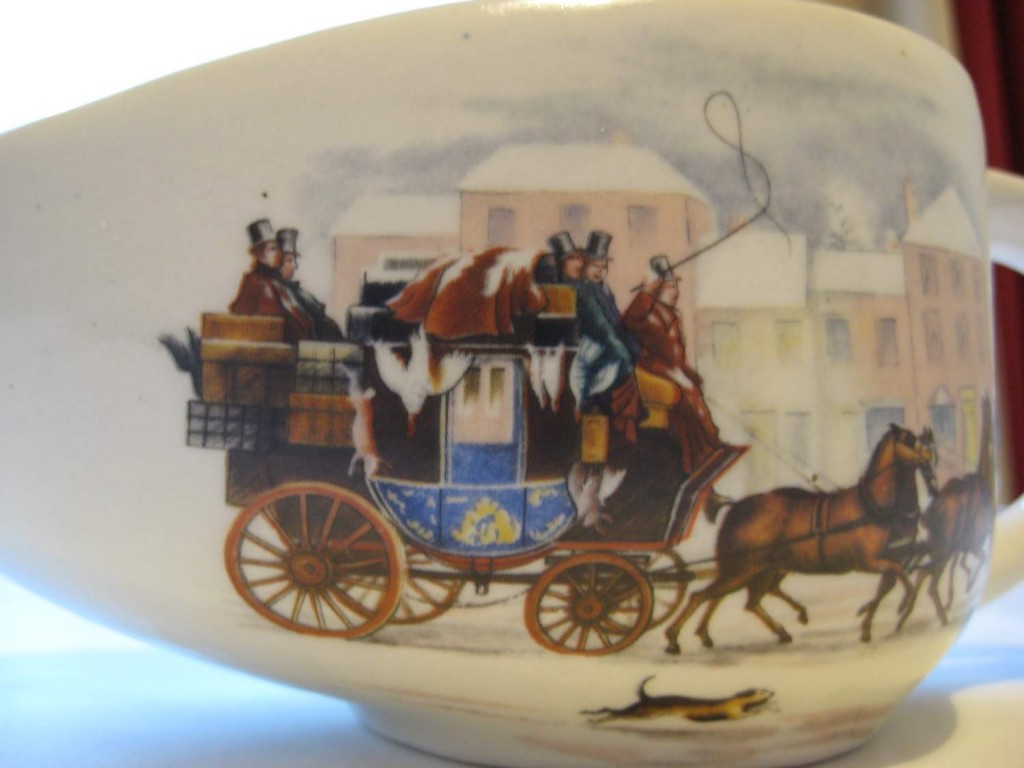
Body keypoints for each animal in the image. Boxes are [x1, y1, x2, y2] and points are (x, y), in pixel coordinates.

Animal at [664, 424, 936, 654]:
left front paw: (870, 621)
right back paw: (674, 637)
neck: (873, 506)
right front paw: (901, 604)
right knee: (703, 595)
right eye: (910, 440)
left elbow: (890, 582)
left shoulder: (889, 558)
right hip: (744, 569)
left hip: (759, 569)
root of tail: (737, 507)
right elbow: (899, 576)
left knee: (743, 600)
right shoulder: (868, 561)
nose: (931, 454)